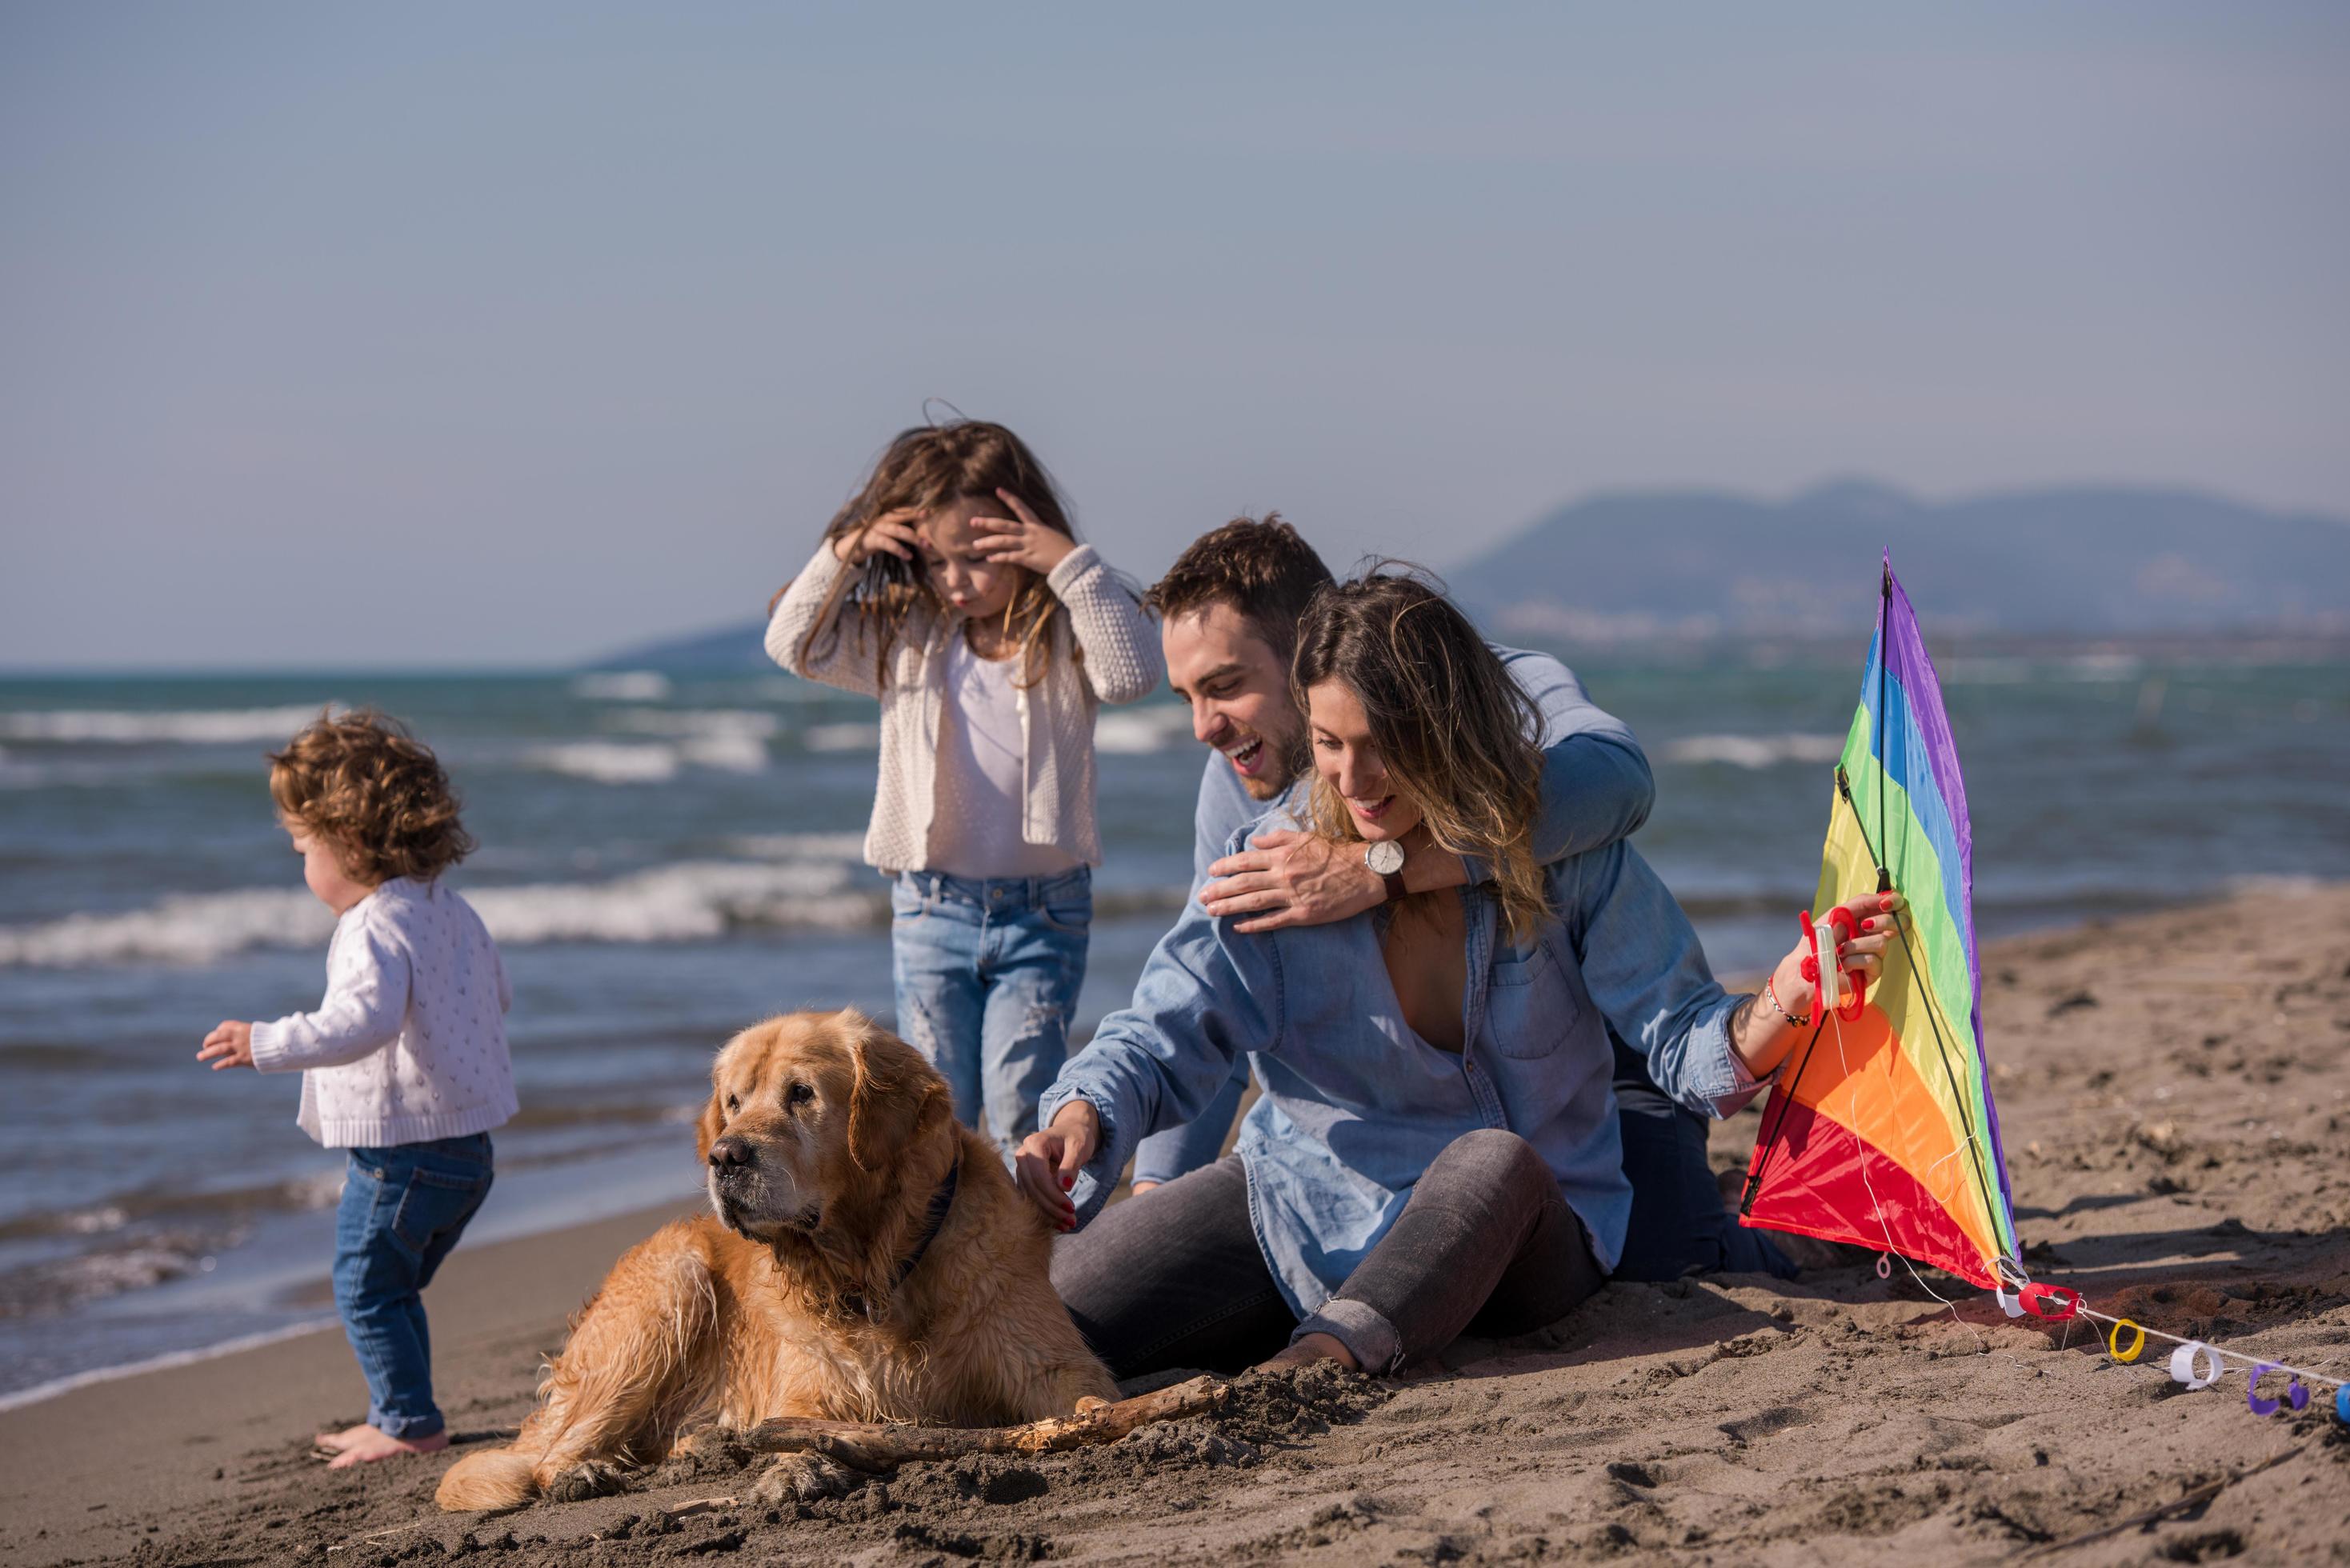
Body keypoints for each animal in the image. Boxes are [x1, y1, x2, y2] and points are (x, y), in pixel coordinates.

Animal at [439, 1010, 1119, 1514]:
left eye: (801, 1094)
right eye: (734, 1102)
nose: (724, 1156)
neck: (872, 1269)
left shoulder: (1045, 1358)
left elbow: (1083, 1395)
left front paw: (1099, 1422)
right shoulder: (809, 1382)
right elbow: (801, 1424)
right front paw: (792, 1468)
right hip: (671, 1286)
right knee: (551, 1452)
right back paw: (584, 1470)